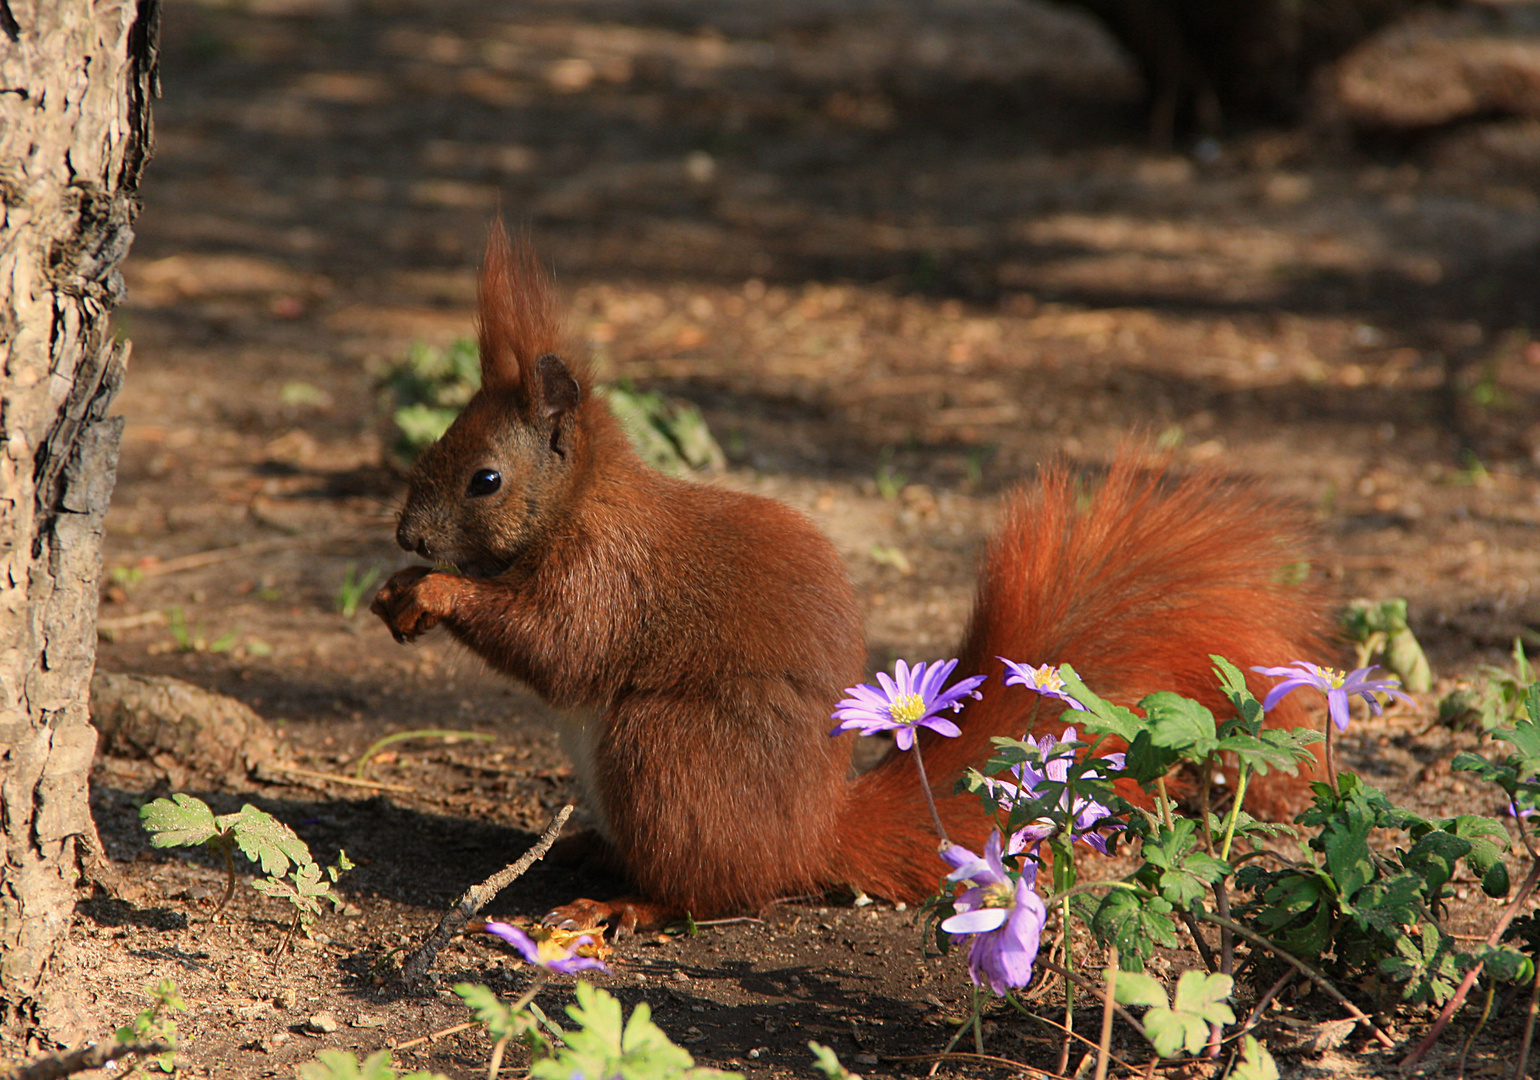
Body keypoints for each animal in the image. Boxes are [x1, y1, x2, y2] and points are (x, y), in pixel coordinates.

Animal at [372, 218, 1324, 924]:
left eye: (485, 480)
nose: (409, 535)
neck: (579, 505)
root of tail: (812, 836)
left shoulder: (608, 577)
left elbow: (559, 647)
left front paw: (434, 590)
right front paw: (392, 591)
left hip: (668, 755)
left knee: (708, 892)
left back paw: (621, 906)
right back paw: (579, 848)